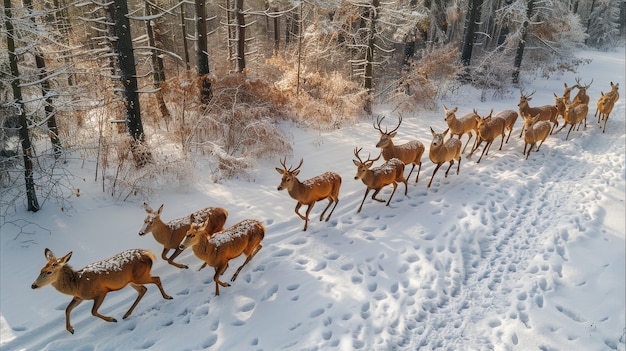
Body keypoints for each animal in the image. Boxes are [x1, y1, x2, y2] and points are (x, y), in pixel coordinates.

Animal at [30, 248, 172, 336]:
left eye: (48, 272)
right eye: (40, 270)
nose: (33, 285)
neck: (77, 284)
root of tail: (148, 254)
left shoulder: (101, 292)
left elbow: (93, 311)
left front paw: (112, 319)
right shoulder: (79, 297)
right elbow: (67, 309)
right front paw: (70, 329)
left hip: (140, 276)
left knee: (156, 279)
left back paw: (167, 297)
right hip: (132, 280)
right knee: (143, 289)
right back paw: (126, 314)